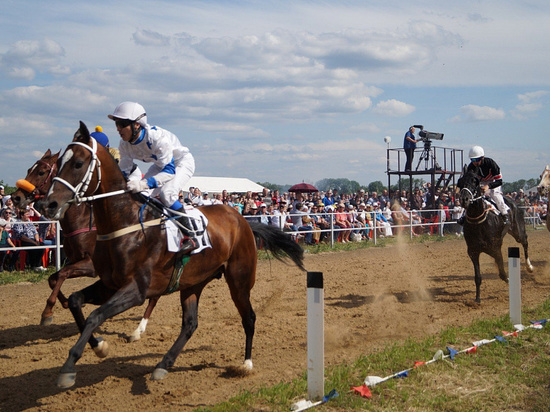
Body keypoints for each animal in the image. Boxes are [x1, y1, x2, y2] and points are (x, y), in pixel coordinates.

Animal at [11, 149, 160, 342]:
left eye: (41, 172)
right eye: (30, 169)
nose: (16, 197)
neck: (81, 220)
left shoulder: (91, 265)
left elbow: (62, 274)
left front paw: (48, 312)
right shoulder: (74, 260)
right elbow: (53, 278)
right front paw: (63, 303)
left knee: (154, 296)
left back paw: (138, 330)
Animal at [44, 120, 306, 388]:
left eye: (77, 163)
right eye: (57, 164)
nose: (49, 205)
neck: (124, 223)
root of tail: (242, 219)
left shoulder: (136, 289)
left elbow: (96, 315)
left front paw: (69, 367)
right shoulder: (109, 283)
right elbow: (76, 301)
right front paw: (98, 345)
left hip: (239, 279)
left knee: (249, 317)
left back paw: (246, 364)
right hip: (193, 282)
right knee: (190, 324)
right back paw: (163, 364)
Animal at [458, 167, 536, 302]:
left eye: (474, 182)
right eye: (461, 181)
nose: (464, 199)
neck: (478, 222)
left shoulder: (496, 248)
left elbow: (502, 273)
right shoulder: (473, 251)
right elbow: (478, 277)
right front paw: (477, 299)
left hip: (518, 231)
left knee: (525, 242)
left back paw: (529, 266)